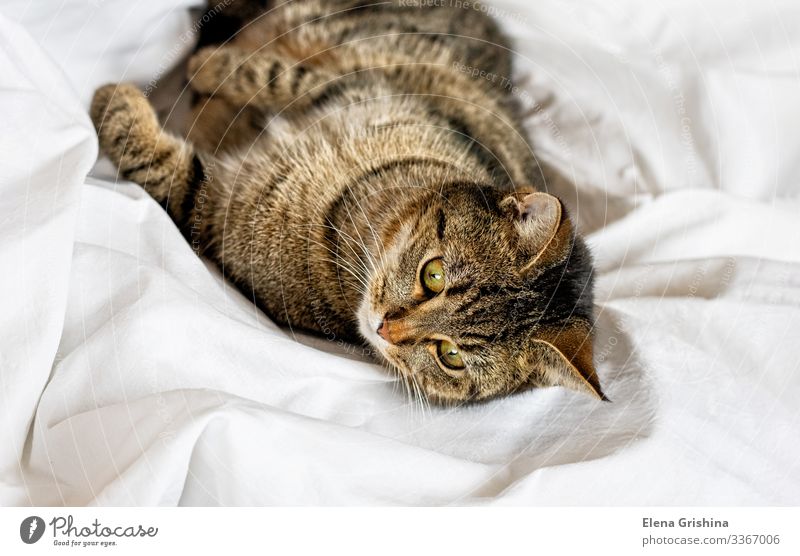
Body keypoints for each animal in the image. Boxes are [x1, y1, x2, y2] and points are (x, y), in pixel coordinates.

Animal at [90, 0, 608, 402]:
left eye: (451, 356)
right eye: (433, 275)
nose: (384, 329)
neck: (355, 202)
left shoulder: (217, 210)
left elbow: (163, 166)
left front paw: (113, 101)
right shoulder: (358, 84)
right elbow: (275, 73)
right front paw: (209, 68)